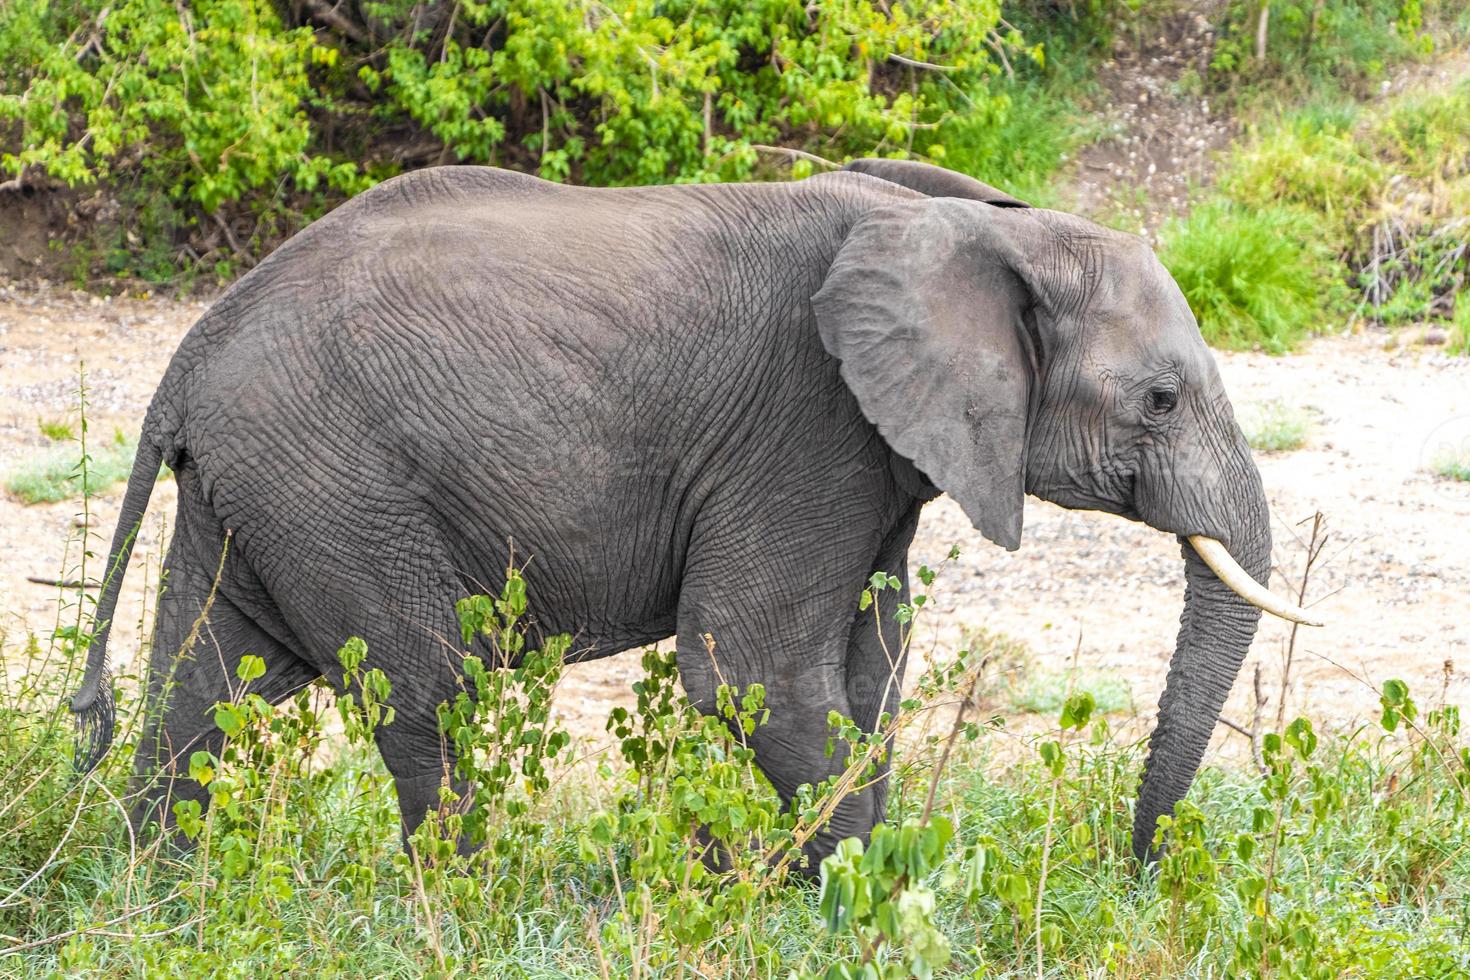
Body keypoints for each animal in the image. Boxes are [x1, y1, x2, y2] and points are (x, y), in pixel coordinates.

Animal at [69, 159, 1317, 863]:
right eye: (1160, 400)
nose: (1137, 863)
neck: (977, 225)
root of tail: (190, 352)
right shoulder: (808, 424)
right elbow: (751, 667)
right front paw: (862, 902)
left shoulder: (873, 456)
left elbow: (871, 670)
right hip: (336, 482)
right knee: (427, 695)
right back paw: (463, 902)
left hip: (265, 488)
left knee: (197, 691)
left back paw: (158, 901)